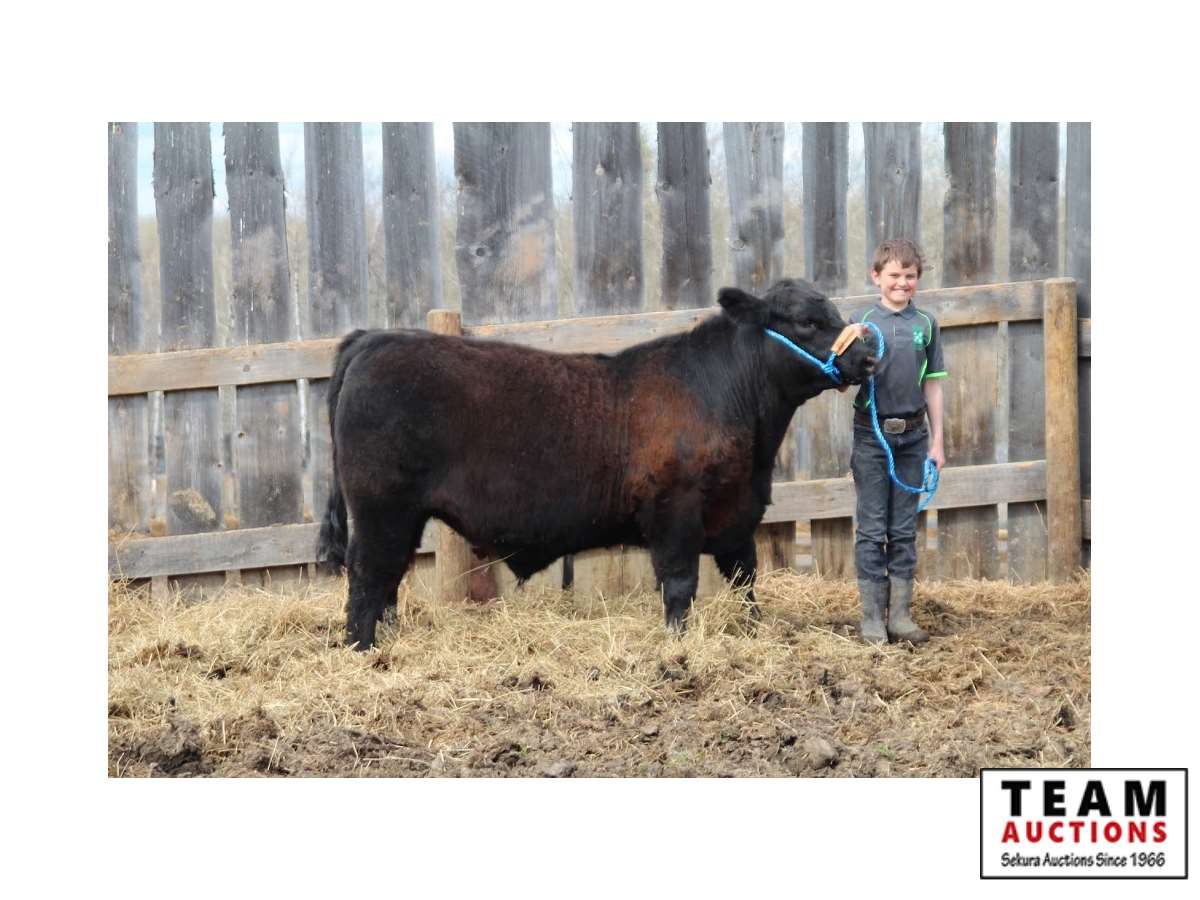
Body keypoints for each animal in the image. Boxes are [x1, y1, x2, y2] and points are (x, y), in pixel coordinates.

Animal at [318, 278, 875, 649]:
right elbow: (680, 586)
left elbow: (745, 580)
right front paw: (677, 647)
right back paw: (364, 650)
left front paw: (751, 632)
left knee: (388, 581)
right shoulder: (675, 512)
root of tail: (375, 339)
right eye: (807, 321)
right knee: (367, 577)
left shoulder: (738, 512)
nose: (868, 356)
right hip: (380, 508)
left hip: (399, 517)